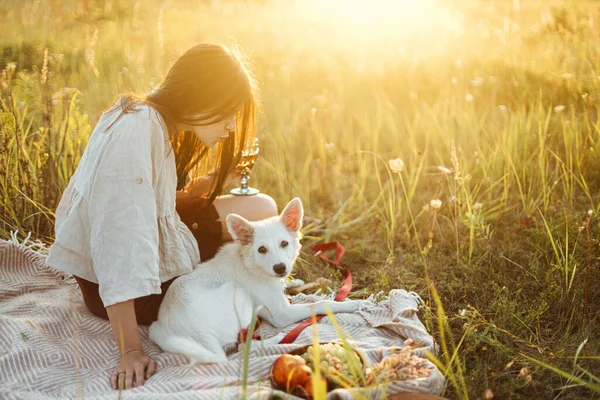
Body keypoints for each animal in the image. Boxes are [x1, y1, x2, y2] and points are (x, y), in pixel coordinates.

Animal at [150, 198, 366, 364]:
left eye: (284, 243)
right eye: (262, 249)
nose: (280, 268)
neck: (251, 265)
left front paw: (292, 282)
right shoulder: (282, 314)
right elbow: (322, 304)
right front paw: (352, 304)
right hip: (238, 293)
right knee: (242, 347)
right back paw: (277, 339)